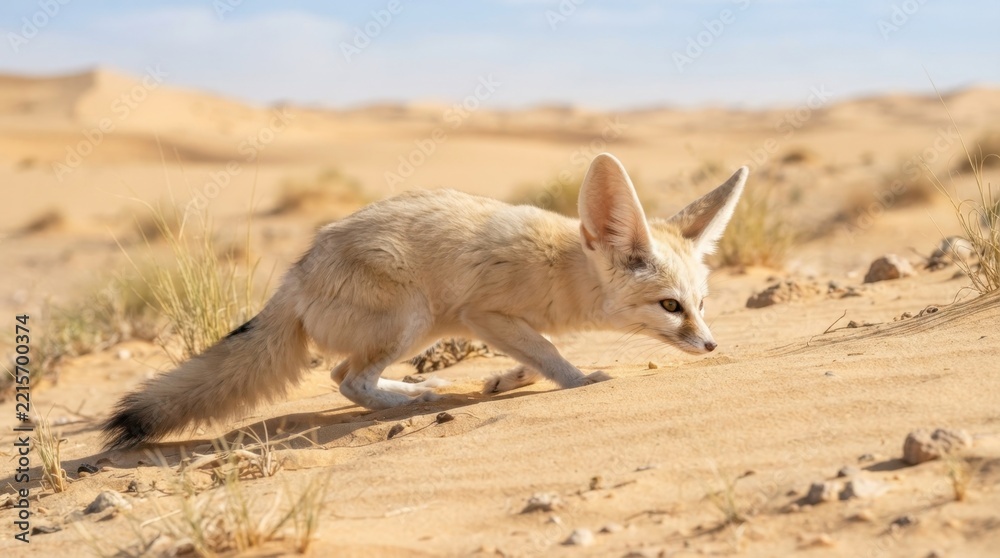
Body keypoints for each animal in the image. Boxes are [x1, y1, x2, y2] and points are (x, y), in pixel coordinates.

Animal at [102, 153, 748, 449]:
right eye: (671, 307)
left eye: (701, 302)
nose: (713, 345)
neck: (562, 266)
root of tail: (296, 275)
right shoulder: (483, 313)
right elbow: (550, 353)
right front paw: (580, 380)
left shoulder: (501, 322)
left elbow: (537, 351)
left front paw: (509, 380)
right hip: (414, 317)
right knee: (347, 379)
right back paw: (408, 400)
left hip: (420, 326)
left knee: (340, 374)